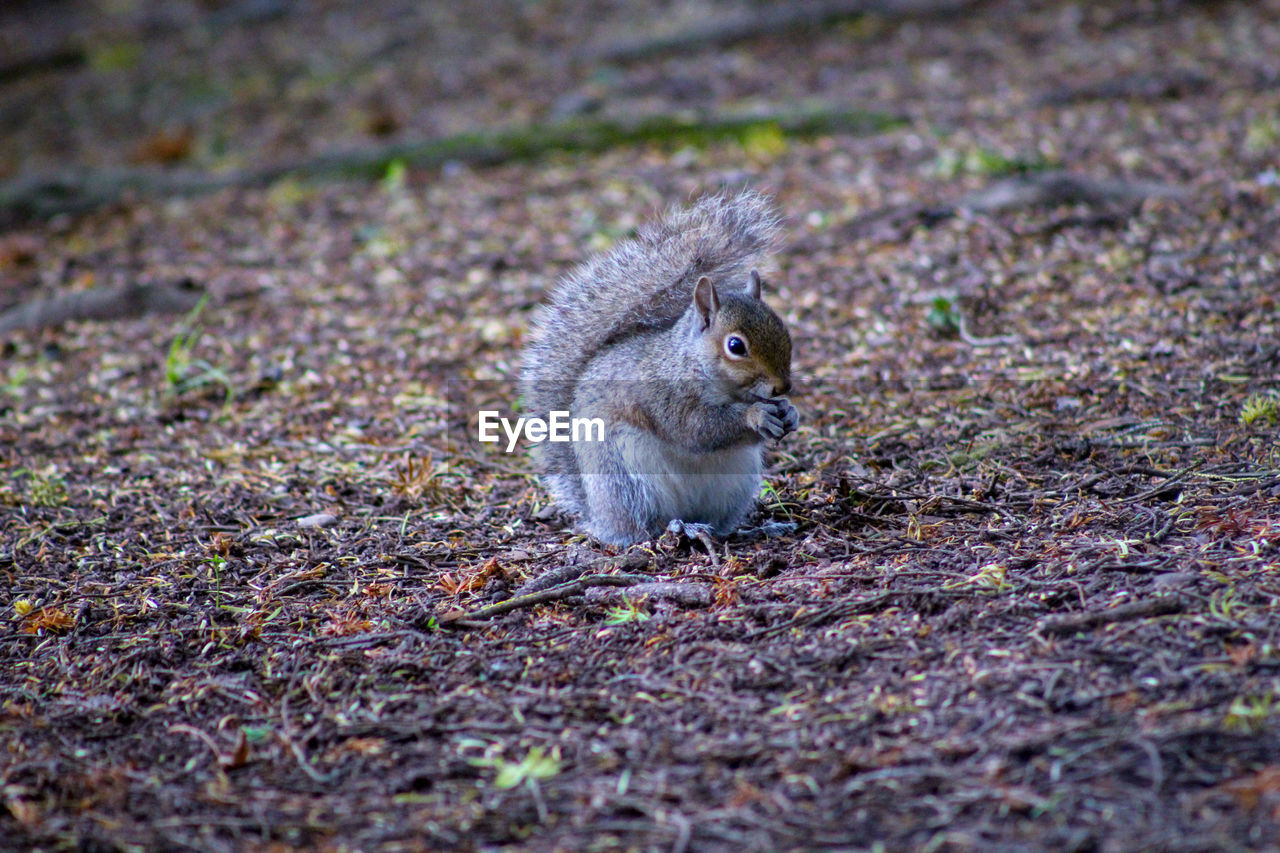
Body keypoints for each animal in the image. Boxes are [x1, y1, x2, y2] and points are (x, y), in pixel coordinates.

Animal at [519, 192, 798, 545]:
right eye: (736, 346)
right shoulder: (663, 394)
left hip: (736, 482)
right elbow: (696, 429)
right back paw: (675, 528)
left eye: (783, 329)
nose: (783, 387)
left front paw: (789, 412)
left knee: (718, 524)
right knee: (644, 525)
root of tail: (598, 515)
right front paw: (756, 415)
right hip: (625, 474)